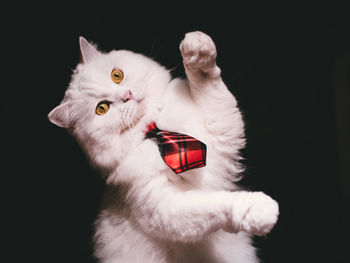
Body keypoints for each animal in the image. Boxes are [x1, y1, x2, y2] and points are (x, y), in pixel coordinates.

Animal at [48, 31, 278, 263]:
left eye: (117, 76)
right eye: (102, 108)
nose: (126, 96)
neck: (157, 132)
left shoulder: (222, 125)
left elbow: (208, 83)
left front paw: (197, 51)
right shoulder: (164, 209)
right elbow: (217, 204)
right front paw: (260, 209)